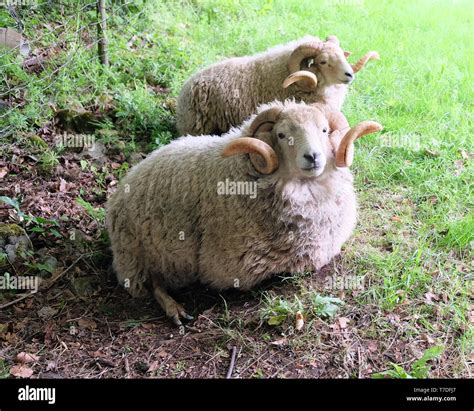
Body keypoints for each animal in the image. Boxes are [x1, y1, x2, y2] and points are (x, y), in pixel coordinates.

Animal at [107, 100, 382, 326]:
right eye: (281, 134)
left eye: (324, 130)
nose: (312, 156)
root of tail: (125, 183)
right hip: (141, 252)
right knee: (152, 283)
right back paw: (174, 309)